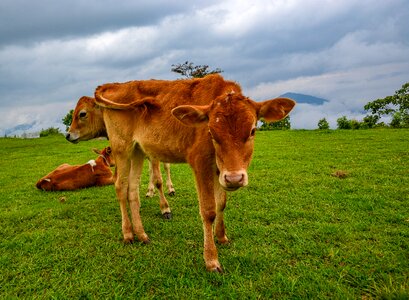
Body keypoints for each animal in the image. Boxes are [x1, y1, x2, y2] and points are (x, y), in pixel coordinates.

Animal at [66, 75, 294, 272]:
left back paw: (142, 234)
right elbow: (208, 210)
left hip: (137, 151)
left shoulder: (220, 170)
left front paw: (222, 237)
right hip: (121, 148)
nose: (235, 178)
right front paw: (211, 259)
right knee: (120, 187)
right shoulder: (200, 162)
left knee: (133, 190)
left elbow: (221, 203)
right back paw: (128, 233)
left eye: (253, 130)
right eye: (211, 132)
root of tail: (112, 85)